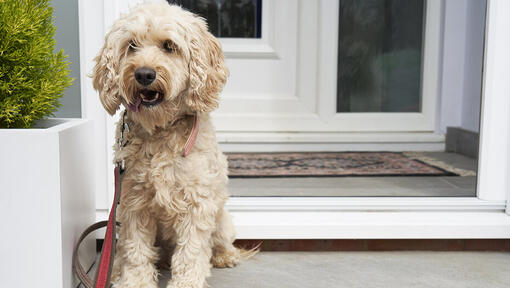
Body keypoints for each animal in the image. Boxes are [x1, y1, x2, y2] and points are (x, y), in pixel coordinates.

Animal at [92, 2, 252, 288]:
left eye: (169, 46)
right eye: (131, 45)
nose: (144, 73)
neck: (160, 130)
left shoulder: (197, 204)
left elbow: (191, 252)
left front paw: (186, 283)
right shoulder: (134, 203)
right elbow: (136, 250)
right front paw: (135, 281)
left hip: (221, 218)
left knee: (220, 241)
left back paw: (225, 256)